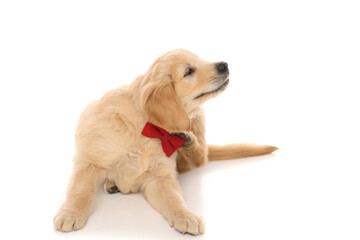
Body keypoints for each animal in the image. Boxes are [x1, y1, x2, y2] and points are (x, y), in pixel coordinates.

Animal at [53, 49, 278, 235]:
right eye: (189, 71)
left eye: (200, 59)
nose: (224, 64)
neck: (150, 128)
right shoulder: (88, 163)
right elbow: (80, 191)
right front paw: (71, 213)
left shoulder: (159, 177)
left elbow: (173, 198)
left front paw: (186, 216)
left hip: (198, 124)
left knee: (202, 157)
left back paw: (188, 141)